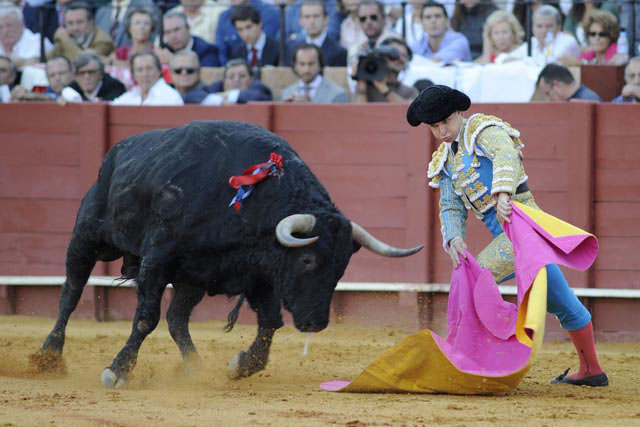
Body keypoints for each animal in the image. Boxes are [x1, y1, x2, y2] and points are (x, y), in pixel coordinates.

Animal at [37, 120, 422, 388]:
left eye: (341, 269)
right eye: (307, 260)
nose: (316, 322)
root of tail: (116, 153)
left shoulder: (259, 274)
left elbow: (270, 321)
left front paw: (242, 365)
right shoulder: (157, 260)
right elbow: (145, 318)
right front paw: (117, 372)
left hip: (192, 278)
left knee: (177, 319)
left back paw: (194, 368)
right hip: (87, 237)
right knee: (71, 293)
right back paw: (48, 357)